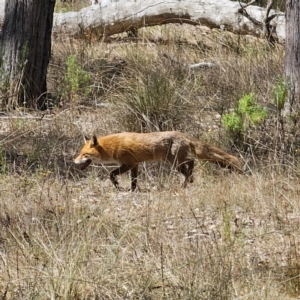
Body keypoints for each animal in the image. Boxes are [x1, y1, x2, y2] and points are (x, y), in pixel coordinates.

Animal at [74, 131, 243, 190]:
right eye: (80, 153)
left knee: (191, 163)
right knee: (191, 163)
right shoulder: (135, 165)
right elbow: (134, 181)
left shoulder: (128, 163)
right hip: (175, 162)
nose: (74, 162)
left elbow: (111, 174)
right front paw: (133, 190)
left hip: (175, 163)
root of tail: (182, 134)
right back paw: (190, 180)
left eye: (84, 155)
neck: (112, 146)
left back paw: (186, 183)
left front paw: (117, 185)